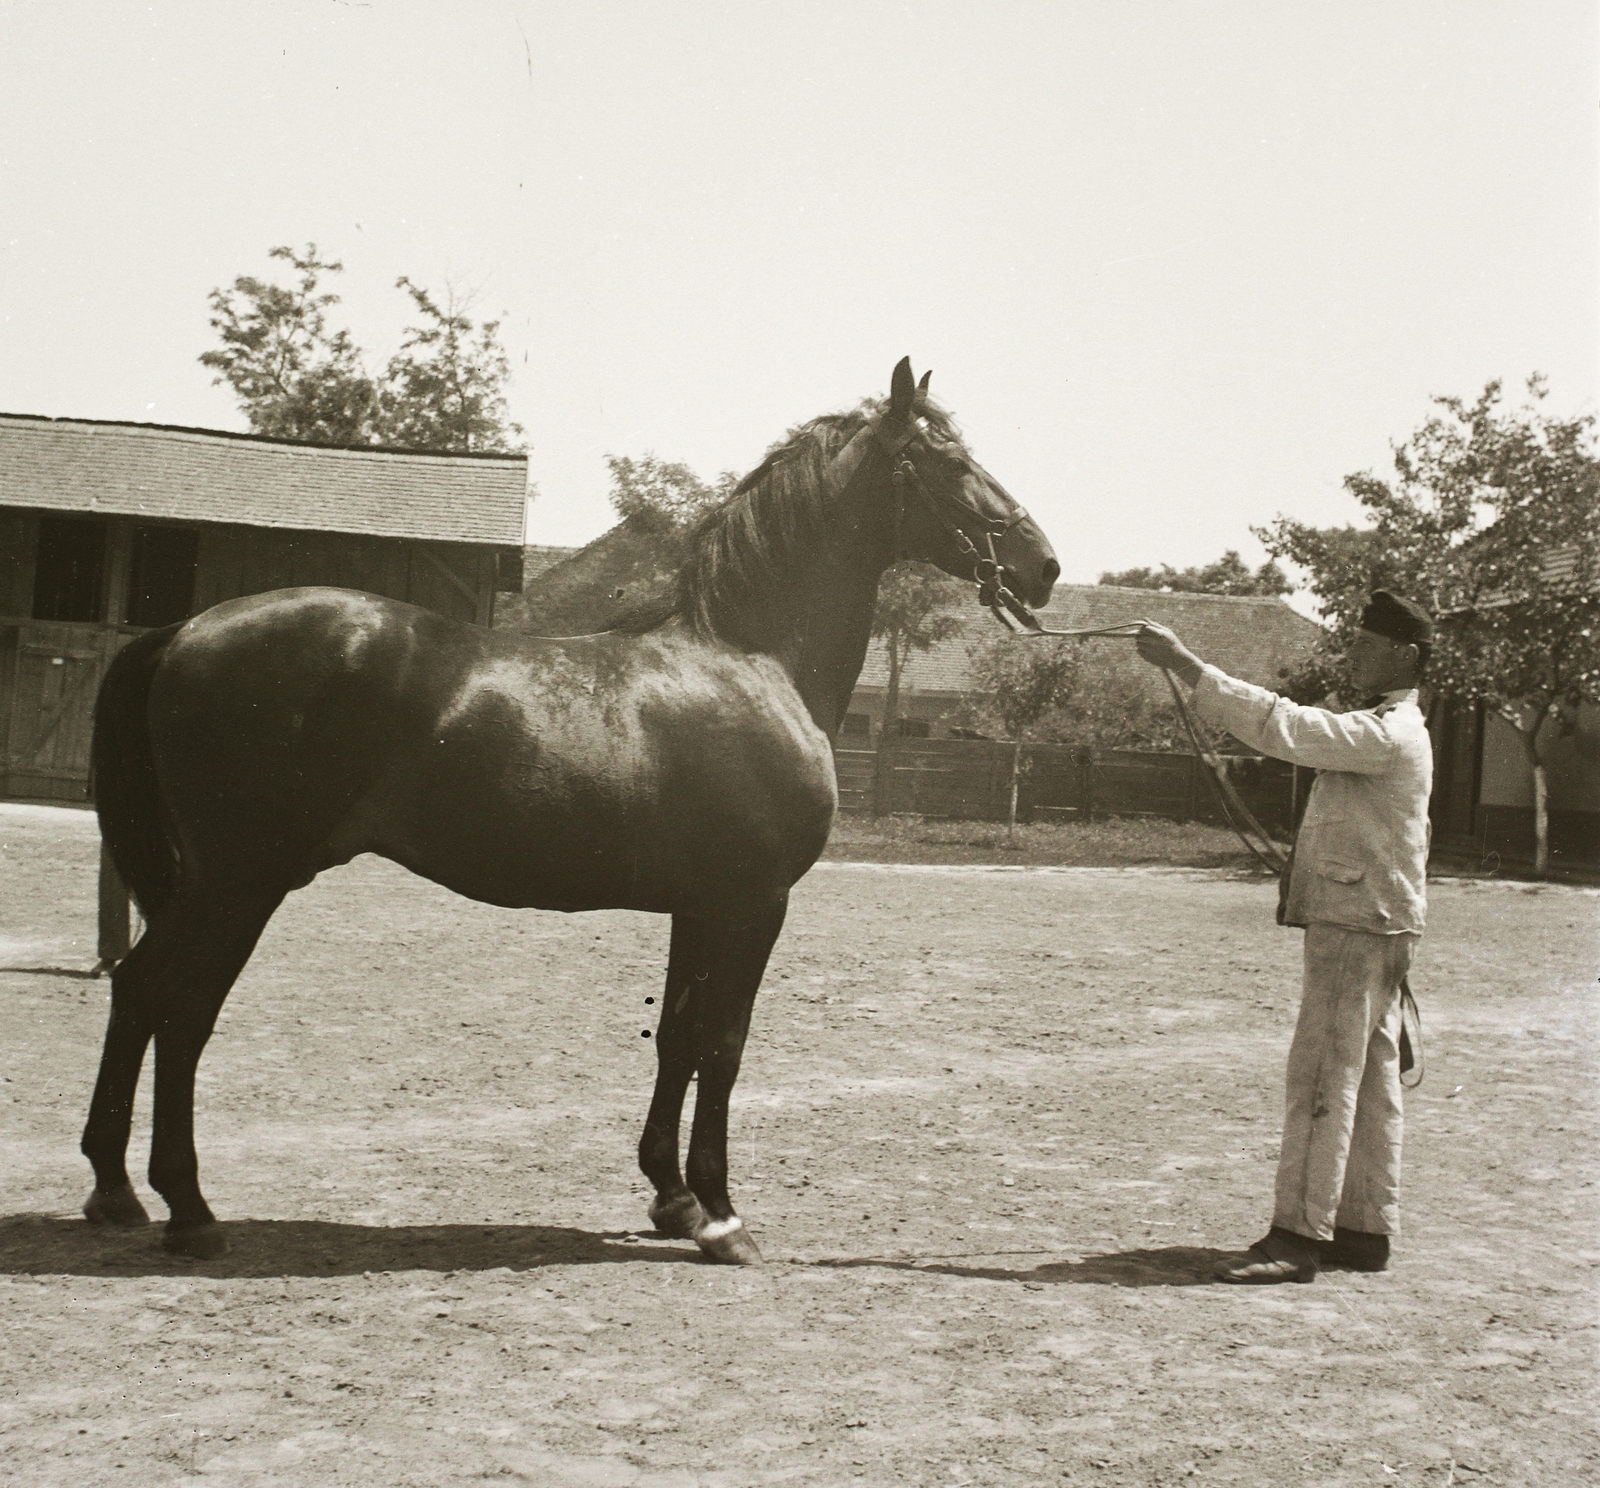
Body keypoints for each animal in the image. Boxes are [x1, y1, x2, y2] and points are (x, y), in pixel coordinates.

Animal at [84, 353, 1062, 1260]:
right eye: (946, 461)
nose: (1042, 564)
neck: (750, 660)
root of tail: (185, 630)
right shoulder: (754, 903)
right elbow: (724, 1043)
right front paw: (724, 1218)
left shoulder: (700, 905)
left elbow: (676, 1037)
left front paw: (673, 1201)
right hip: (240, 882)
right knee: (177, 1006)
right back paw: (189, 1211)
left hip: (217, 884)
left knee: (138, 992)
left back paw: (116, 1192)